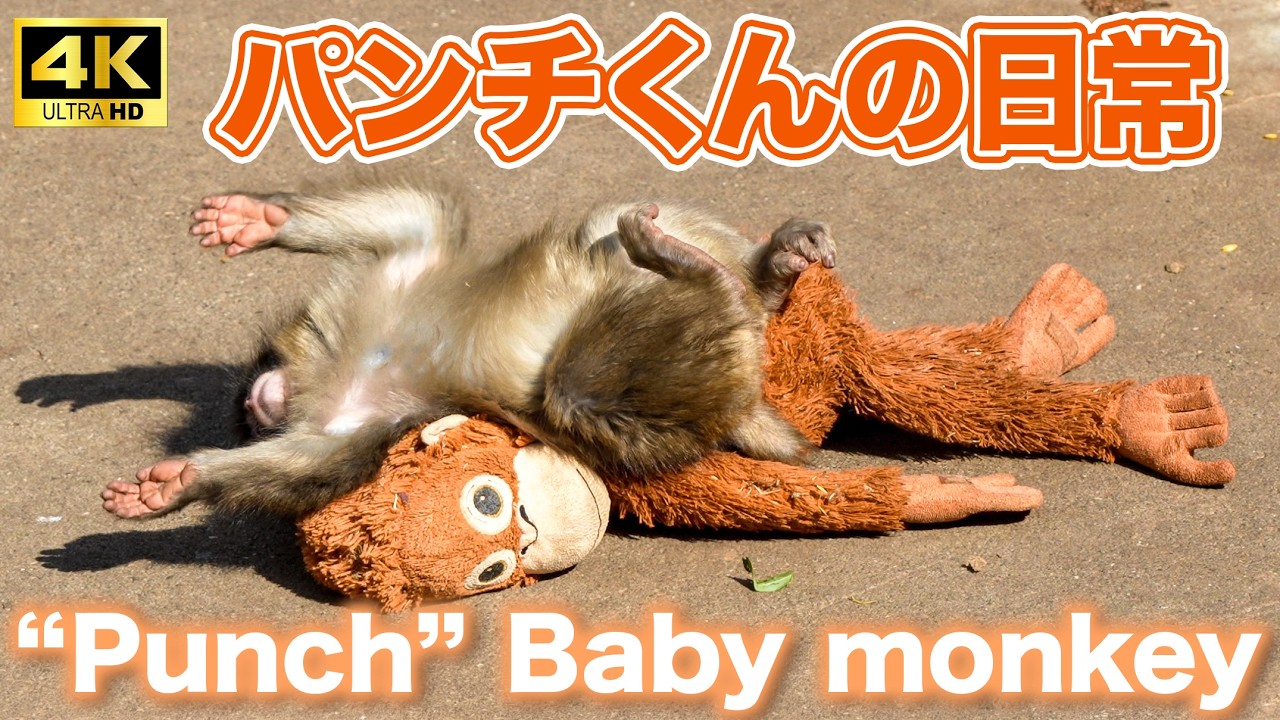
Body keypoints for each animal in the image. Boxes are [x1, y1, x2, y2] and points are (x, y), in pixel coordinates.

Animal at [102, 183, 836, 519]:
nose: (258, 401)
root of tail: (745, 396)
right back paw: (755, 277)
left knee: (595, 297)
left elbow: (422, 218)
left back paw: (731, 270)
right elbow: (324, 465)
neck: (336, 361)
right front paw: (178, 482)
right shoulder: (354, 417)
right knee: (578, 391)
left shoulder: (401, 269)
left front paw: (259, 220)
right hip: (688, 384)